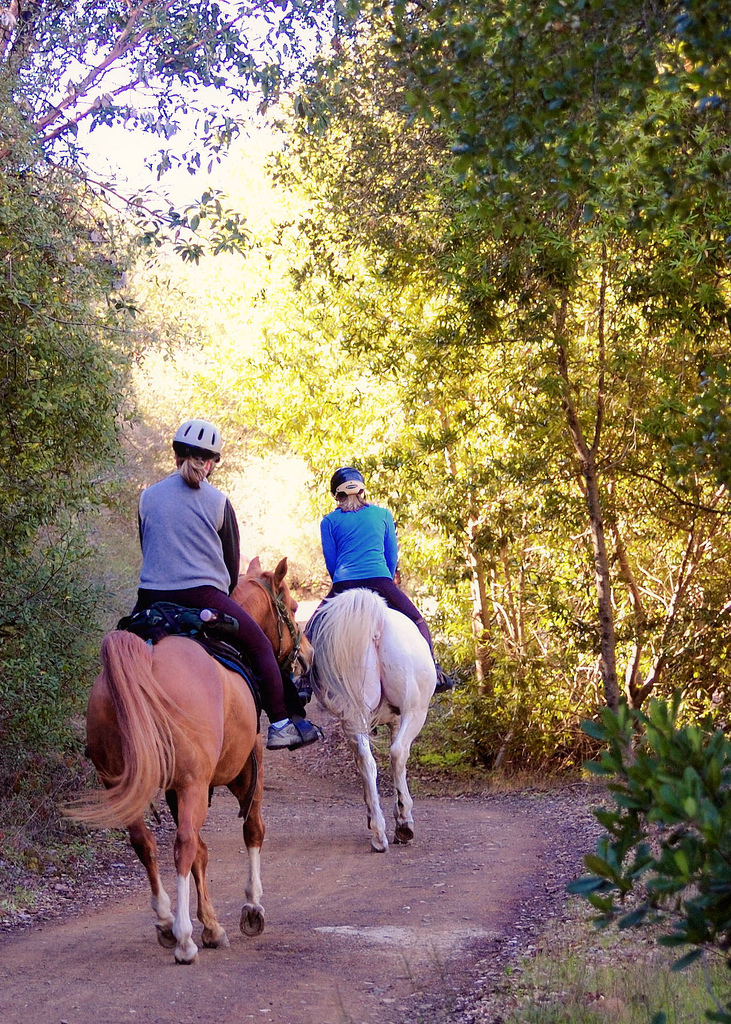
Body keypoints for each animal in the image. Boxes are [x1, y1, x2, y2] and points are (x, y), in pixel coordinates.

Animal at [67, 556, 310, 964]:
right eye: (292, 609)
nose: (307, 657)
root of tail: (148, 654)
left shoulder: (175, 789)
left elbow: (203, 852)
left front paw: (211, 925)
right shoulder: (247, 769)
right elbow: (251, 831)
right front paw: (252, 908)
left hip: (123, 780)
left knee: (146, 843)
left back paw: (166, 921)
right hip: (195, 783)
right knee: (181, 844)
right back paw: (183, 938)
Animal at [306, 588, 436, 852]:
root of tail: (376, 625)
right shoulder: (398, 718)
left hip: (352, 715)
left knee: (366, 762)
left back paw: (378, 832)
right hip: (415, 711)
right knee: (398, 753)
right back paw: (403, 822)